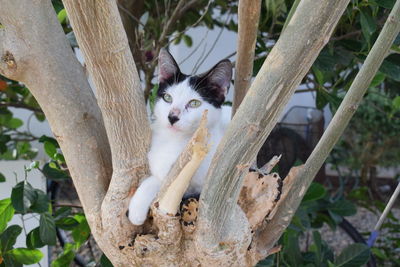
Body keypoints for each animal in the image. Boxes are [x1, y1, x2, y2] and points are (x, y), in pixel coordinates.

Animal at [128, 48, 231, 226]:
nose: (172, 117)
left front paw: (137, 208)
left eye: (194, 103)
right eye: (168, 98)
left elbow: (167, 183)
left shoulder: (200, 182)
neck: (174, 140)